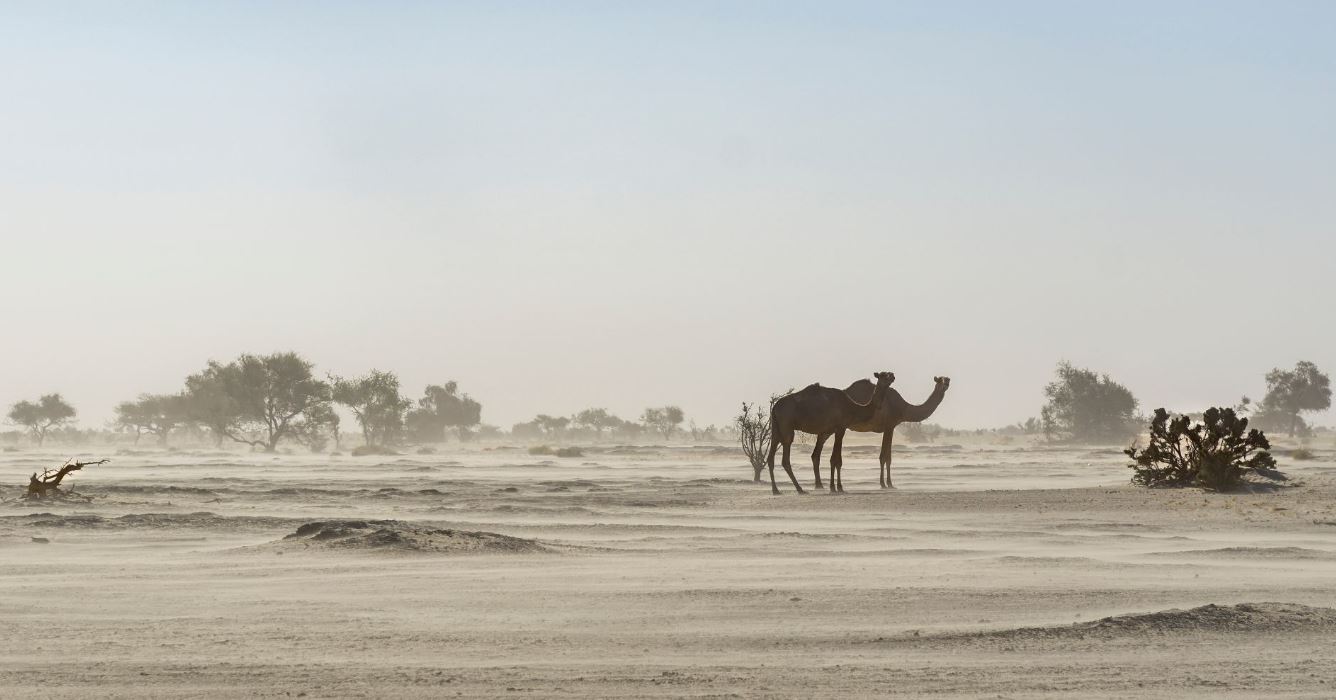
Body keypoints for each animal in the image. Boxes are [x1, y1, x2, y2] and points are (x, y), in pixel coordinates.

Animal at [766, 371, 894, 494]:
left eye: (888, 374)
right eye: (883, 376)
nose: (892, 376)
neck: (852, 408)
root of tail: (775, 407)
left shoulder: (835, 430)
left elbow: (836, 460)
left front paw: (837, 487)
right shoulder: (840, 428)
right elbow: (835, 460)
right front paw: (836, 487)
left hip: (776, 428)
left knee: (771, 456)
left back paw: (776, 490)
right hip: (786, 426)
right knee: (785, 456)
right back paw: (799, 489)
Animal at [810, 376, 951, 489]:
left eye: (947, 379)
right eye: (940, 380)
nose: (947, 383)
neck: (903, 408)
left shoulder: (889, 427)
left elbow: (886, 456)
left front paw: (886, 483)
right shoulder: (890, 426)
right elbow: (885, 457)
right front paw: (886, 483)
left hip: (827, 428)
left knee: (816, 454)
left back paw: (819, 484)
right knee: (817, 452)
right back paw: (820, 484)